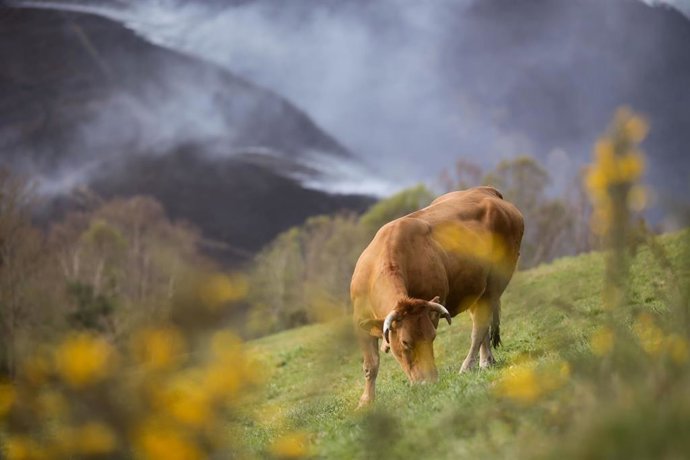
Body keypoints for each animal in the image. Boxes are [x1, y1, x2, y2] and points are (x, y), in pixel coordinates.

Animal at [351, 186, 524, 407]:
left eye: (432, 337)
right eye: (405, 342)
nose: (429, 383)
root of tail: (487, 191)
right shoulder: (360, 322)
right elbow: (370, 365)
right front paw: (365, 402)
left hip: (496, 283)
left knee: (479, 327)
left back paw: (470, 365)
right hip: (476, 290)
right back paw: (487, 360)